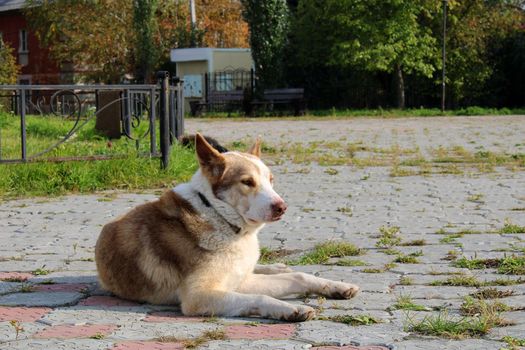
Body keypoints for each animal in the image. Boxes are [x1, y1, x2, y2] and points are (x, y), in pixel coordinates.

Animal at [94, 133, 358, 322]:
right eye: (247, 182)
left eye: (270, 180)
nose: (282, 207)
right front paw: (289, 309)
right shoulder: (200, 295)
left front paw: (337, 287)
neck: (219, 216)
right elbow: (261, 296)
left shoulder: (239, 280)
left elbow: (299, 277)